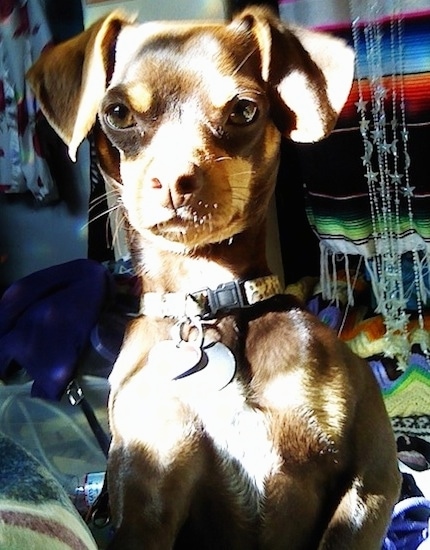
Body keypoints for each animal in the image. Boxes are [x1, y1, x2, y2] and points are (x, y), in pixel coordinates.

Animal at [28, 6, 402, 548]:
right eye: (117, 113)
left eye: (245, 110)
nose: (174, 179)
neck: (206, 299)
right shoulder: (148, 501)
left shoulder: (369, 479)